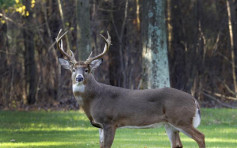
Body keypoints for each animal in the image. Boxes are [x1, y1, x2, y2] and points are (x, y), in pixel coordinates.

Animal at [56, 29, 206, 147]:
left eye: (87, 70)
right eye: (73, 69)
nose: (79, 78)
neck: (94, 100)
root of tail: (194, 100)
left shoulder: (110, 121)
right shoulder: (100, 126)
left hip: (181, 119)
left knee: (201, 137)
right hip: (170, 125)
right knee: (178, 144)